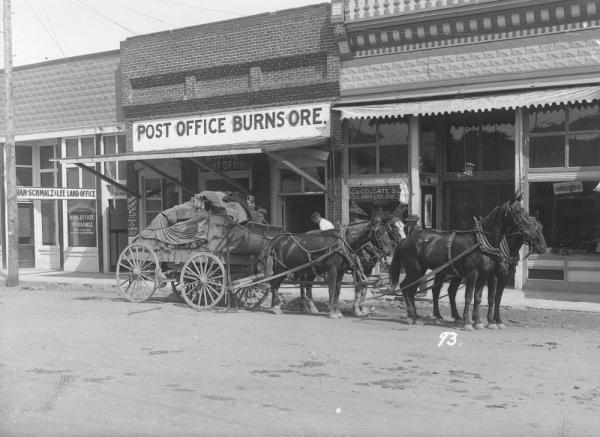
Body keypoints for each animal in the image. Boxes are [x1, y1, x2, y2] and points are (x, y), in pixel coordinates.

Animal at [262, 217, 394, 316]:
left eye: (387, 232)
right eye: (379, 232)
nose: (389, 251)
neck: (342, 243)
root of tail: (278, 239)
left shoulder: (341, 271)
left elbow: (338, 290)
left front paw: (338, 311)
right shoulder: (333, 270)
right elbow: (332, 288)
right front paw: (333, 312)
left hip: (306, 270)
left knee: (303, 284)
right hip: (281, 268)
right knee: (274, 284)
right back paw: (276, 307)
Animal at [390, 197, 544, 328]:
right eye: (518, 212)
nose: (542, 247)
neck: (484, 243)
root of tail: (405, 240)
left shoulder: (487, 274)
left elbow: (484, 297)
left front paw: (484, 321)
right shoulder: (475, 273)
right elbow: (471, 296)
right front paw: (470, 322)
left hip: (435, 271)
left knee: (428, 290)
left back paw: (425, 316)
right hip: (415, 269)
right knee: (406, 287)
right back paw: (414, 316)